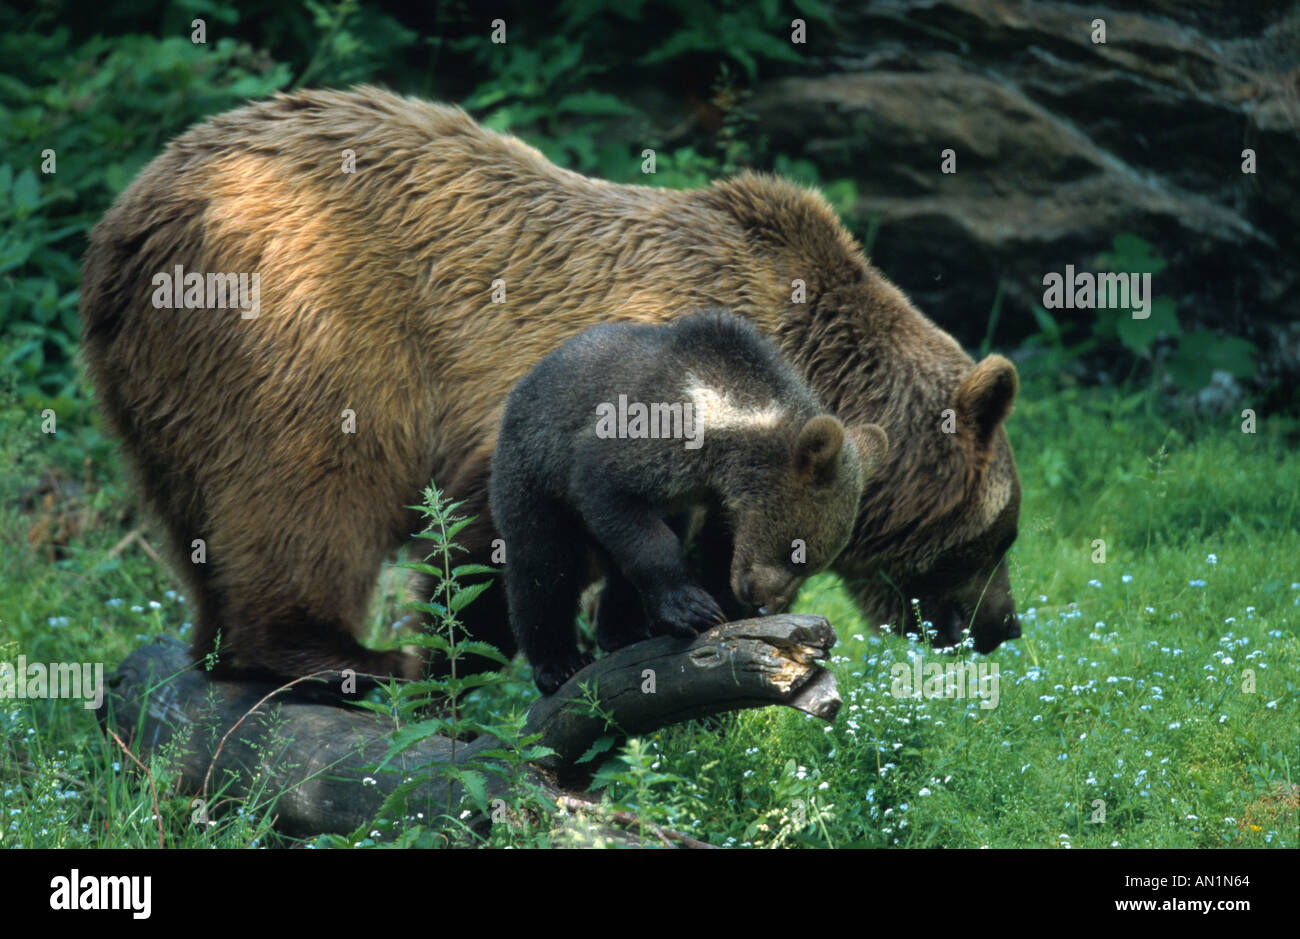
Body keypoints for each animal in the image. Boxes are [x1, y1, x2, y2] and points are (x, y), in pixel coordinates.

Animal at [490, 311, 885, 694]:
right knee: (541, 564)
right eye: (795, 552)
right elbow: (621, 508)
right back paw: (558, 662)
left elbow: (709, 545)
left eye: (812, 565)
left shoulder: (704, 499)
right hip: (531, 471)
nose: (760, 603)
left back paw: (624, 630)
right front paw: (694, 608)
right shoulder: (639, 438)